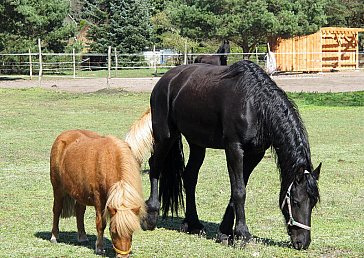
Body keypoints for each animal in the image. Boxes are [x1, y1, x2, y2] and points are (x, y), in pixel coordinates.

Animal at [49, 108, 152, 256]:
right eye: (113, 232)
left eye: (131, 232)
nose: (122, 256)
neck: (109, 161)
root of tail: (62, 137)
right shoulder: (99, 200)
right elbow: (101, 223)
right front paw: (99, 247)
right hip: (58, 188)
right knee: (56, 210)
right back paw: (54, 236)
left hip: (79, 191)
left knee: (79, 211)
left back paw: (82, 236)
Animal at [142, 60, 322, 250]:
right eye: (295, 202)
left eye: (313, 202)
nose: (302, 242)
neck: (255, 105)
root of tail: (165, 80)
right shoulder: (234, 149)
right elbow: (239, 191)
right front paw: (243, 234)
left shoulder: (255, 154)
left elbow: (237, 190)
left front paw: (225, 232)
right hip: (165, 136)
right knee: (155, 165)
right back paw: (151, 214)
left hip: (197, 143)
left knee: (189, 176)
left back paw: (193, 223)